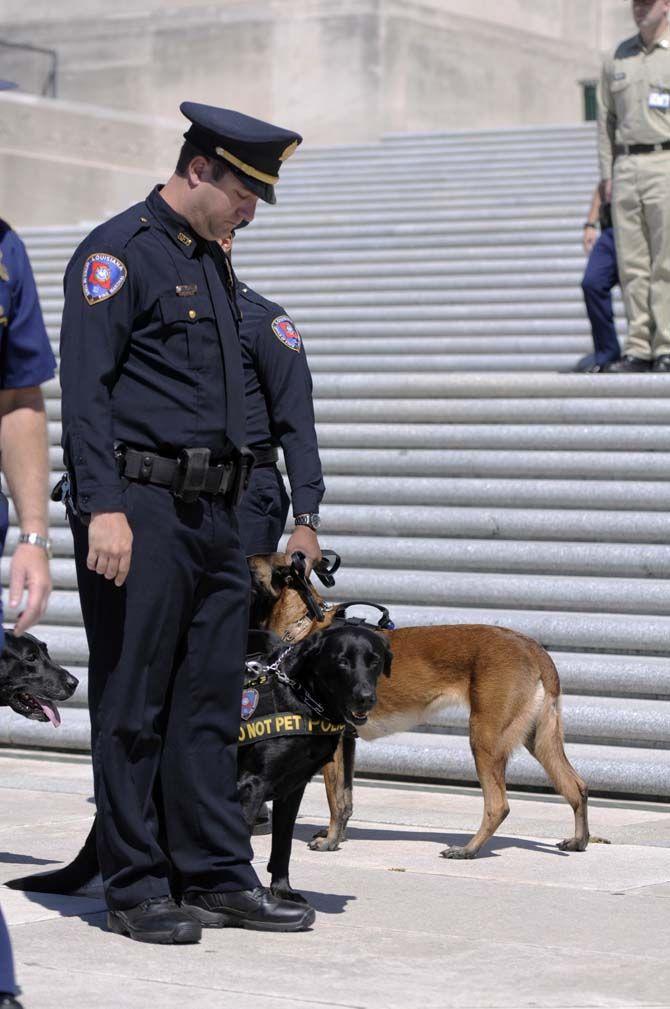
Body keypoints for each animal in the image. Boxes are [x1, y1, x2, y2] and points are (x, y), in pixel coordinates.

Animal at [6, 625, 393, 904]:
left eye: (373, 661)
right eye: (342, 661)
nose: (365, 697)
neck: (300, 694)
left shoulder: (291, 790)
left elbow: (282, 846)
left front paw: (282, 891)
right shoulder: (250, 786)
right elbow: (237, 845)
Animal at [248, 552, 589, 859]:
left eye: (250, 567)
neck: (304, 626)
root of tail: (532, 646)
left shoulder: (333, 744)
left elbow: (335, 797)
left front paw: (330, 841)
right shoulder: (347, 741)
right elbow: (346, 798)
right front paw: (339, 836)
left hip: (485, 738)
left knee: (498, 805)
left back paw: (468, 850)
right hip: (538, 738)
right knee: (577, 786)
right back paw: (579, 841)